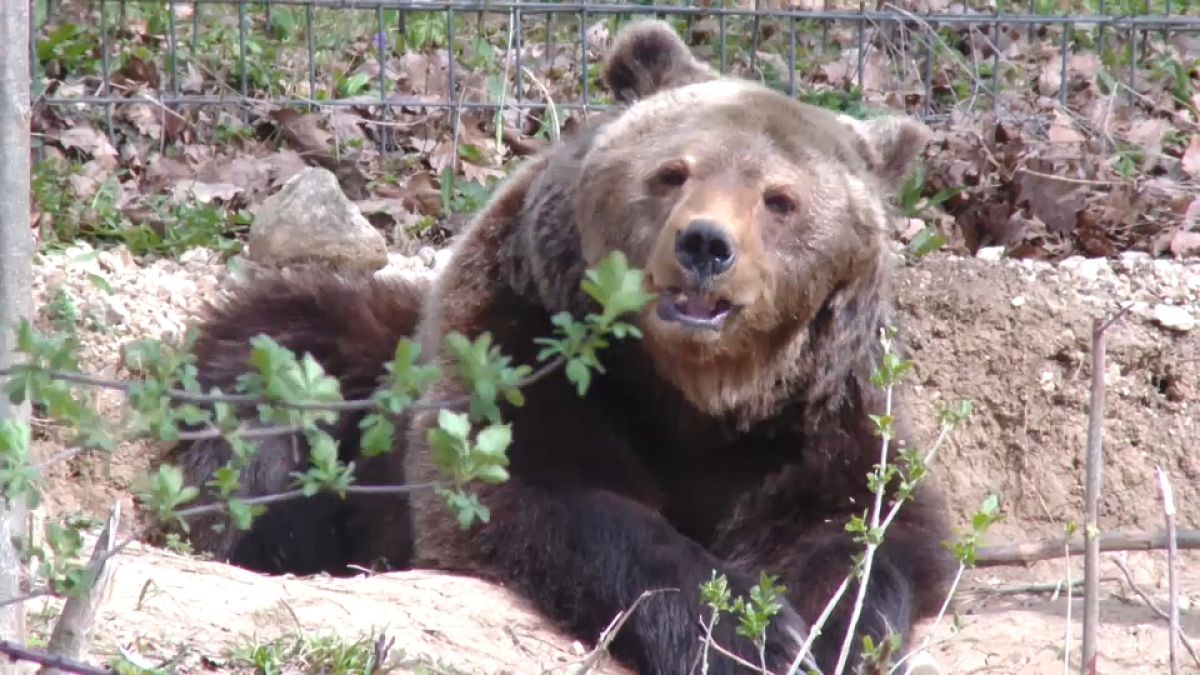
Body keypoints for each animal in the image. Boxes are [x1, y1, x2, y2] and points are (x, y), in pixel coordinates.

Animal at [164, 19, 960, 672]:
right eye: (672, 172)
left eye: (779, 199)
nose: (705, 244)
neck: (696, 393)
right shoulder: (524, 346)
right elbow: (545, 498)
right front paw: (743, 635)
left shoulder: (821, 417)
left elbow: (862, 532)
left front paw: (828, 633)